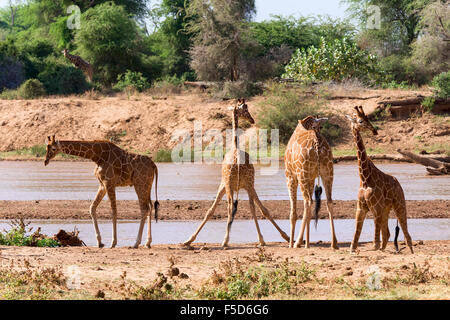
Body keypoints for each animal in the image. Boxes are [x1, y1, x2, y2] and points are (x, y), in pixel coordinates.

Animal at [183, 99, 288, 248]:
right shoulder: (238, 185)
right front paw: (189, 240)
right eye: (245, 109)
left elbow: (213, 210)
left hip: (236, 185)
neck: (235, 146)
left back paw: (227, 240)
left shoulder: (225, 185)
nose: (252, 119)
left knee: (235, 206)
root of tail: (238, 162)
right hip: (246, 184)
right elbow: (211, 210)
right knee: (250, 207)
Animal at [284, 116, 338, 249]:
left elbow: (293, 213)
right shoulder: (312, 178)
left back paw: (306, 244)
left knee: (308, 201)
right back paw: (334, 243)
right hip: (328, 172)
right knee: (329, 201)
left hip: (302, 175)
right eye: (319, 126)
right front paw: (298, 241)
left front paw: (292, 244)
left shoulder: (290, 176)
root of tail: (317, 144)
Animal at [346, 106, 414, 254]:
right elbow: (357, 232)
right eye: (360, 120)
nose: (375, 131)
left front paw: (374, 246)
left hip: (399, 204)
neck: (364, 178)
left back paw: (412, 252)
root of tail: (398, 183)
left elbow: (376, 243)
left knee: (406, 234)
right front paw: (353, 248)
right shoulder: (361, 208)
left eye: (368, 118)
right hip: (386, 209)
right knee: (387, 233)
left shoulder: (376, 207)